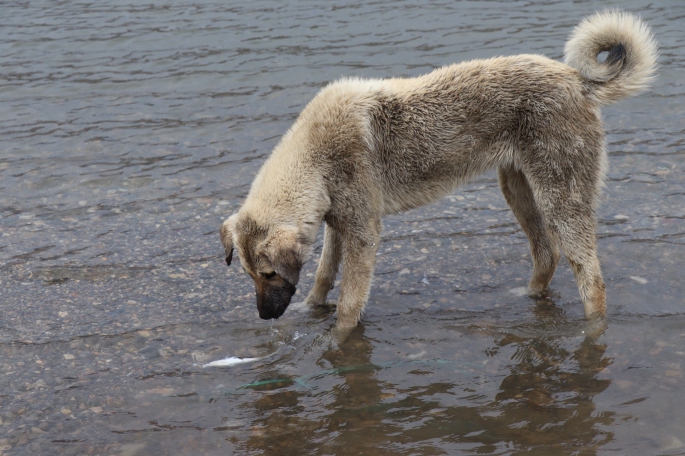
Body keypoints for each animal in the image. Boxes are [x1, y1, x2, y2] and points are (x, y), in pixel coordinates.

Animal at [220, 11, 656, 328]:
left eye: (270, 274)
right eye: (249, 274)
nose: (265, 316)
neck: (315, 157)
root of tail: (578, 81)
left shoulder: (362, 232)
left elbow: (348, 305)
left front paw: (337, 341)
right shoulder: (336, 224)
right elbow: (324, 276)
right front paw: (311, 309)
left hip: (561, 198)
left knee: (592, 281)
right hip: (517, 188)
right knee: (546, 253)